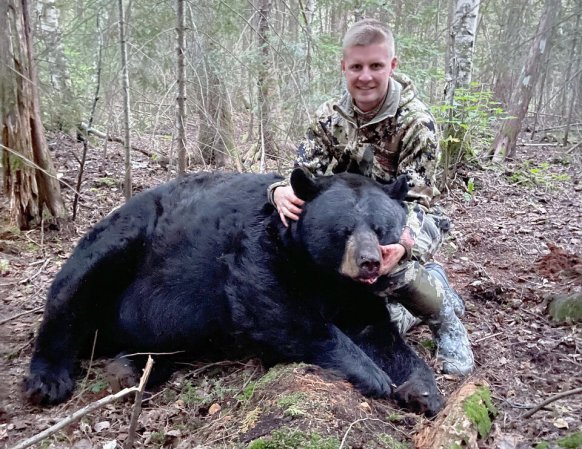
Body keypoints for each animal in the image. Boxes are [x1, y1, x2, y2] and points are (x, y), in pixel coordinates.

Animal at [21, 169, 442, 416]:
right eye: (344, 229)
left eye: (380, 228)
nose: (368, 263)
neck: (324, 275)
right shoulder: (258, 248)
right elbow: (277, 308)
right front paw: (373, 376)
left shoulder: (353, 293)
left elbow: (376, 331)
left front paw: (423, 390)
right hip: (128, 237)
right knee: (76, 289)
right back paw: (49, 380)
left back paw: (130, 368)